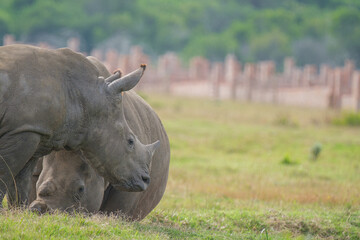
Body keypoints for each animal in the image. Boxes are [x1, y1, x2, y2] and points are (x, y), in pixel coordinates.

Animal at [0, 45, 161, 206]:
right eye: (130, 141)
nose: (145, 180)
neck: (85, 96)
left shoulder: (35, 130)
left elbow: (20, 182)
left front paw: (18, 210)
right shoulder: (22, 130)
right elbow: (5, 175)